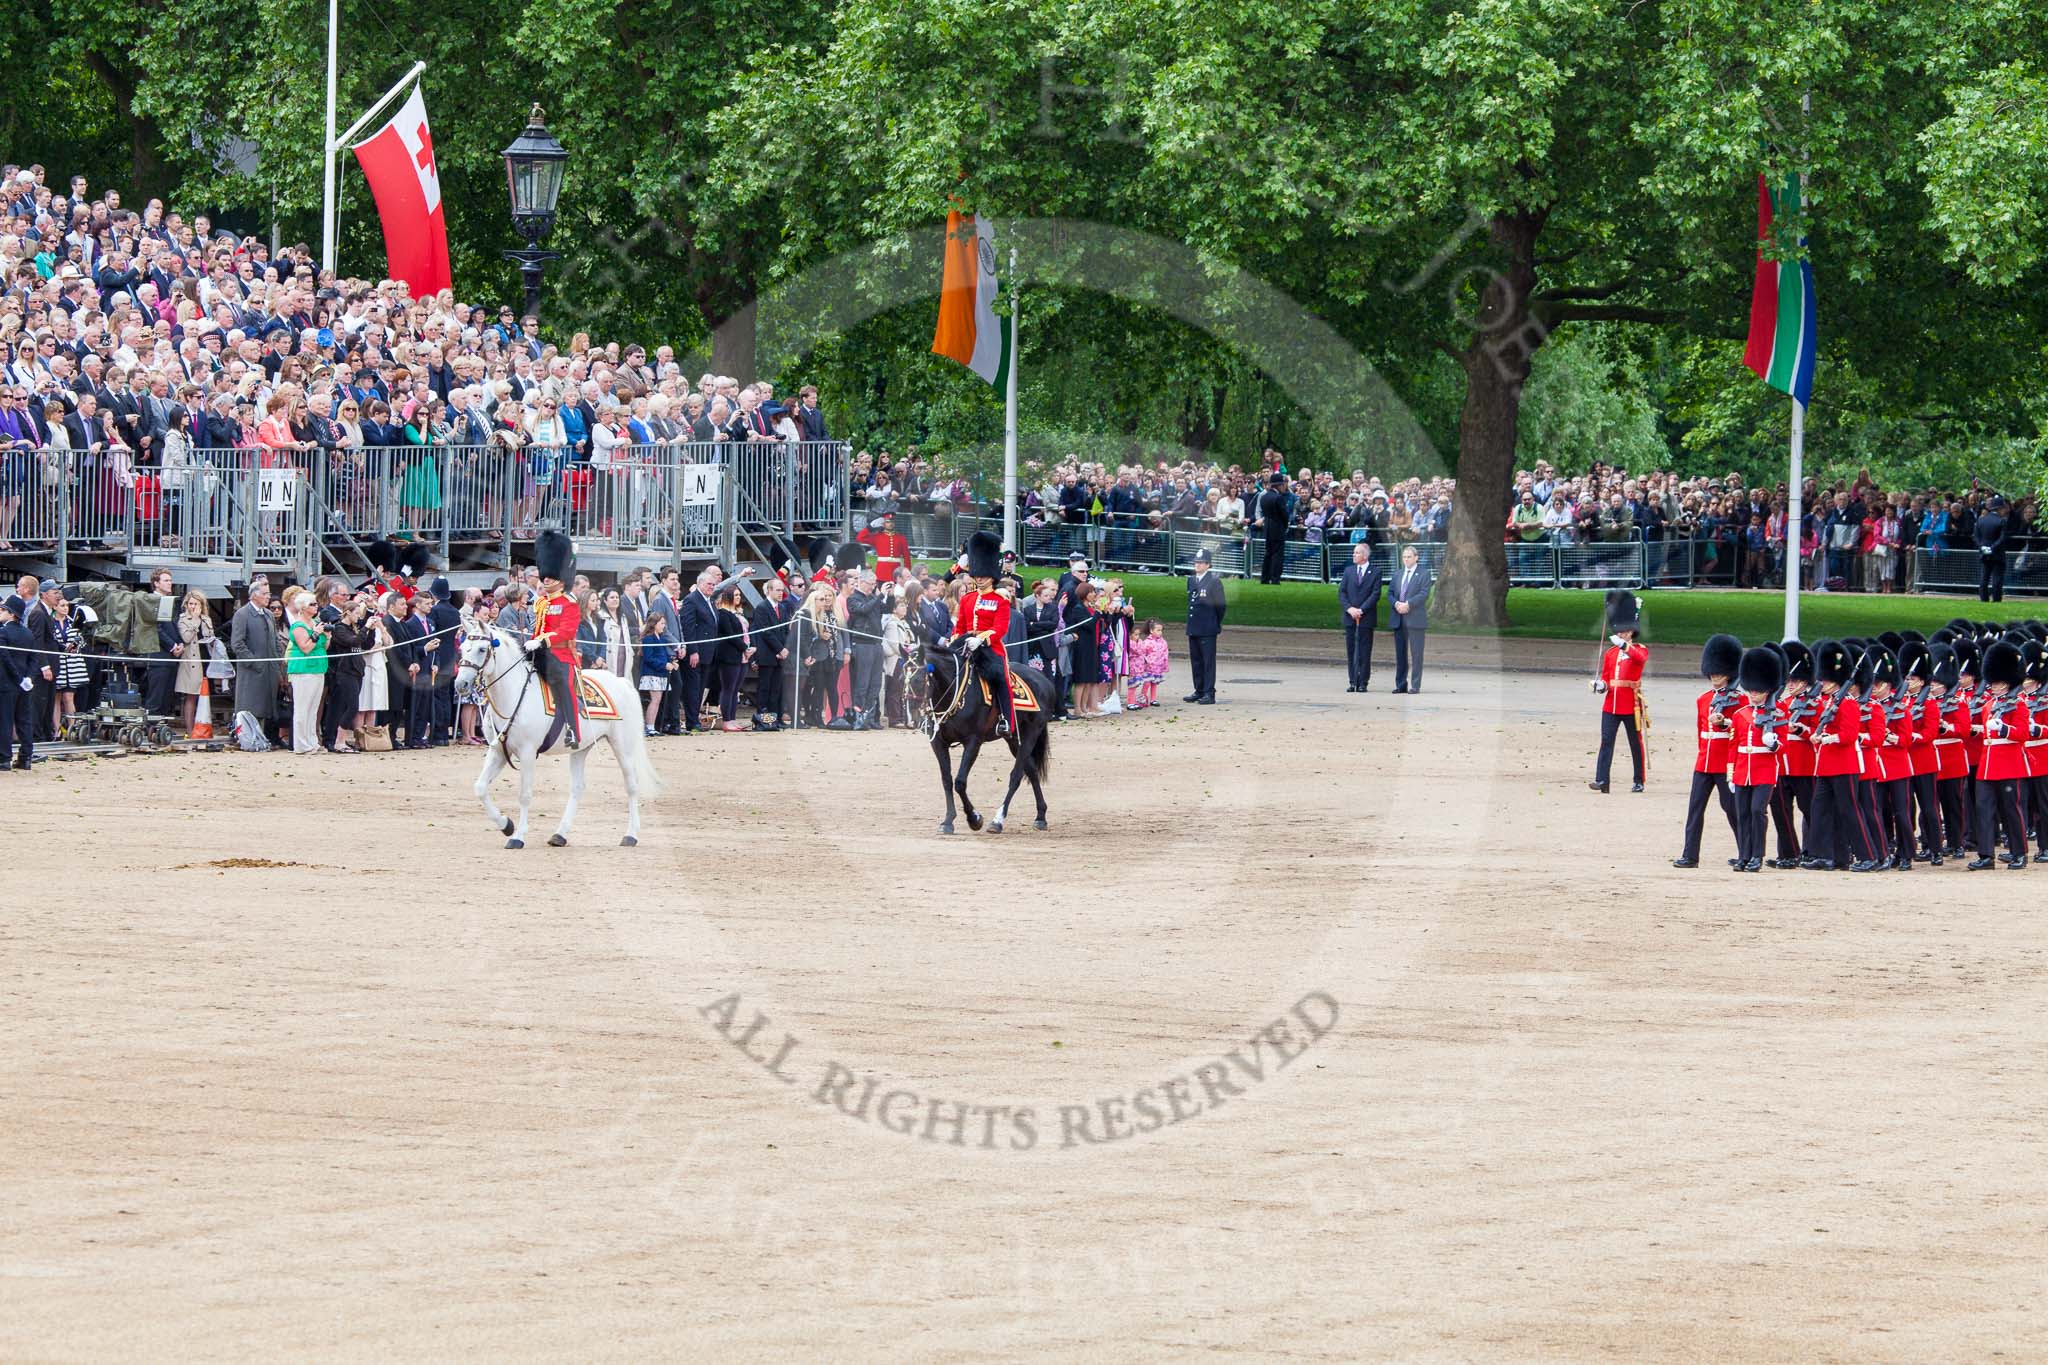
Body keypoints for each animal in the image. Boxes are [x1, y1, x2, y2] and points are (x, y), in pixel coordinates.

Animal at [456, 626, 663, 843]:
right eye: (462, 647)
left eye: (481, 649)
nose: (461, 684)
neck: (513, 693)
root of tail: (622, 681)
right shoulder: (498, 751)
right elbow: (480, 788)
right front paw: (506, 825)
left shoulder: (527, 752)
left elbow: (524, 795)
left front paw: (518, 836)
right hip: (581, 748)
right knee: (578, 787)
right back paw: (560, 834)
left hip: (623, 746)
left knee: (631, 785)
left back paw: (631, 834)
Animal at [929, 642, 1056, 839]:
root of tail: (1044, 681)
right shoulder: (938, 743)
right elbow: (947, 780)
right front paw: (948, 821)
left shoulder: (973, 742)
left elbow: (960, 782)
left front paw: (974, 819)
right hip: (1015, 740)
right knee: (1032, 771)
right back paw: (1040, 816)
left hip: (1030, 735)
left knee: (1016, 776)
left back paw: (998, 821)